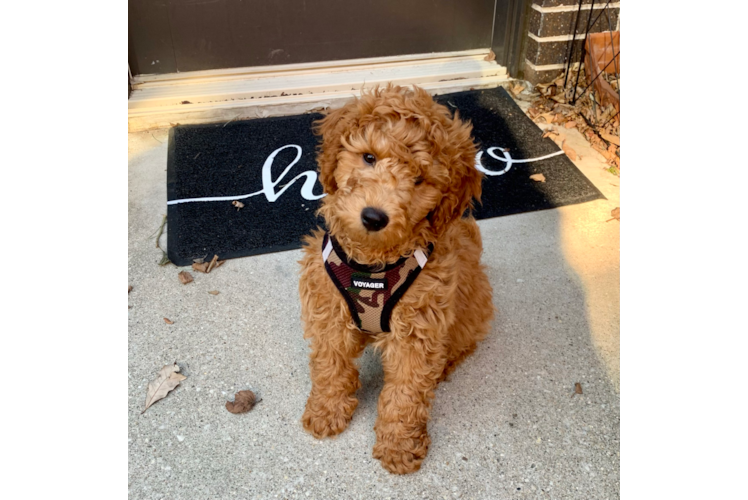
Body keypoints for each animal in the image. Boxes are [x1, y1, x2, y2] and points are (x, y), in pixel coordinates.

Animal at [298, 85, 496, 472]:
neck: (373, 265)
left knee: (463, 340)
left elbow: (406, 391)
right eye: (369, 157)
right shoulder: (329, 308)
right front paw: (326, 410)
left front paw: (399, 444)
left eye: (419, 180)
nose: (373, 217)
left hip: (473, 302)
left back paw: (445, 364)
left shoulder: (418, 329)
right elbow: (330, 363)